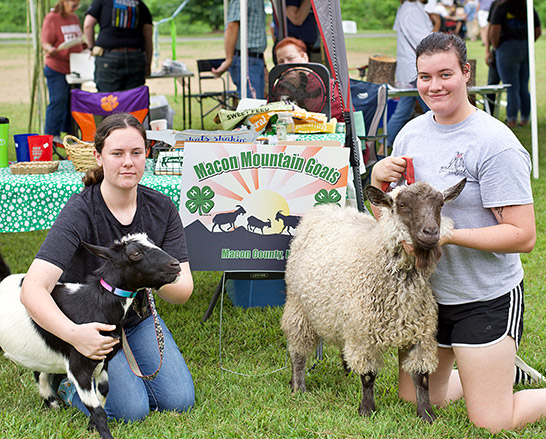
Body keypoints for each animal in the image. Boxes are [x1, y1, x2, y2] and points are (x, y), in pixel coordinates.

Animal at [0, 235, 180, 438]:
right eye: (135, 253)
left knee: (40, 371)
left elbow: (103, 394)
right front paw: (105, 434)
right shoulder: (79, 366)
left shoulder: (104, 361)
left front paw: (92, 427)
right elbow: (99, 410)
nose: (176, 265)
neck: (96, 303)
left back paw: (53, 404)